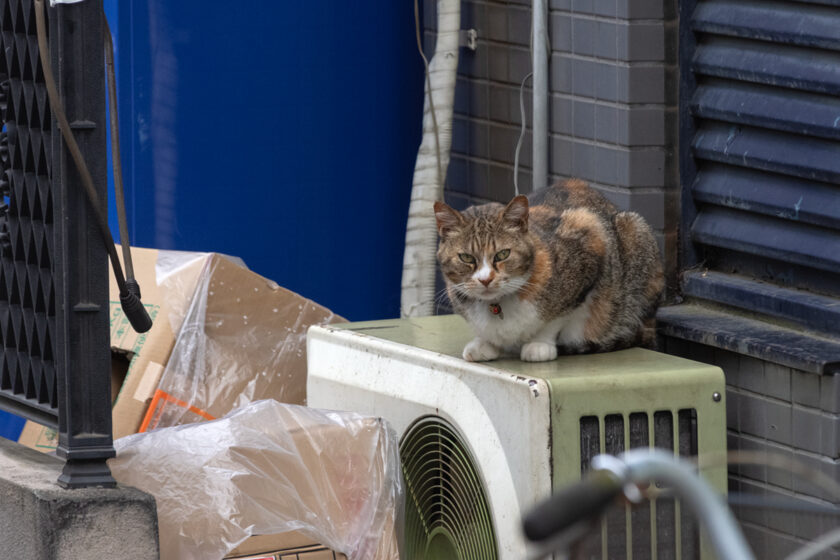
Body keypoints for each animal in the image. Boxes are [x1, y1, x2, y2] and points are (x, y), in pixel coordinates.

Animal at [434, 179, 664, 364]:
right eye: (466, 258)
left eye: (502, 254)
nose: (485, 280)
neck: (497, 305)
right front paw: (485, 343)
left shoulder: (591, 237)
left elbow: (558, 318)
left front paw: (540, 345)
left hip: (634, 232)